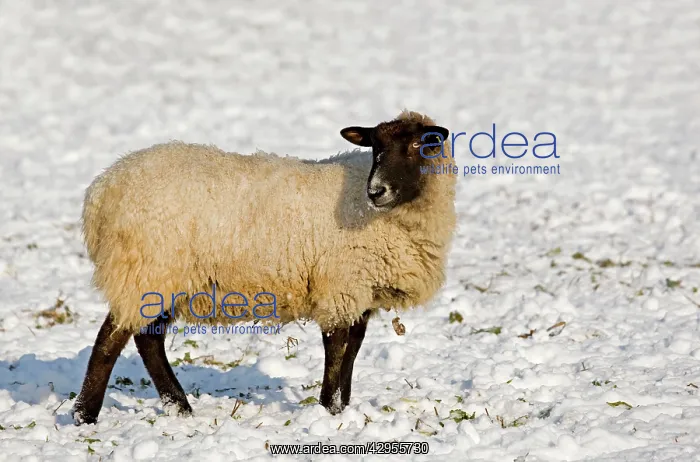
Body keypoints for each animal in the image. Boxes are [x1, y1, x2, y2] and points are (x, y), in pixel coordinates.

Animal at [72, 110, 457, 425]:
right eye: (376, 146)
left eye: (418, 145)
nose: (377, 191)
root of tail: (100, 191)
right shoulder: (339, 286)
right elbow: (336, 348)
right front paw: (330, 409)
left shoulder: (359, 290)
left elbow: (353, 347)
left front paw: (343, 406)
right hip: (144, 269)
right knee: (110, 340)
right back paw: (85, 415)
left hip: (164, 277)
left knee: (148, 337)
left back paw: (178, 406)